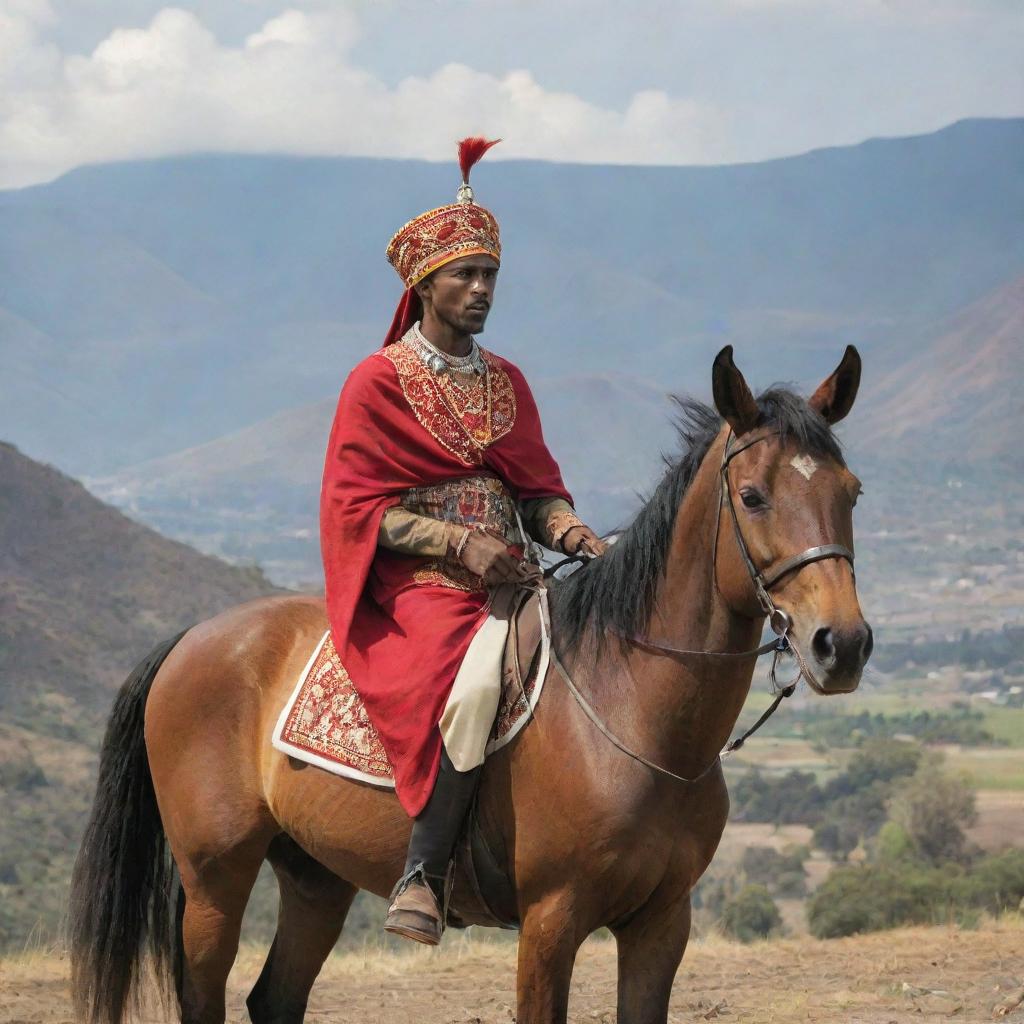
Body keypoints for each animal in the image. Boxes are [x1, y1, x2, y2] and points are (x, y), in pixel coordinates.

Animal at [70, 346, 872, 1024]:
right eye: (753, 496)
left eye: (853, 493)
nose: (843, 644)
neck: (635, 715)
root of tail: (192, 639)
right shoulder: (551, 922)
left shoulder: (661, 923)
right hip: (214, 879)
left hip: (314, 877)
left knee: (274, 998)